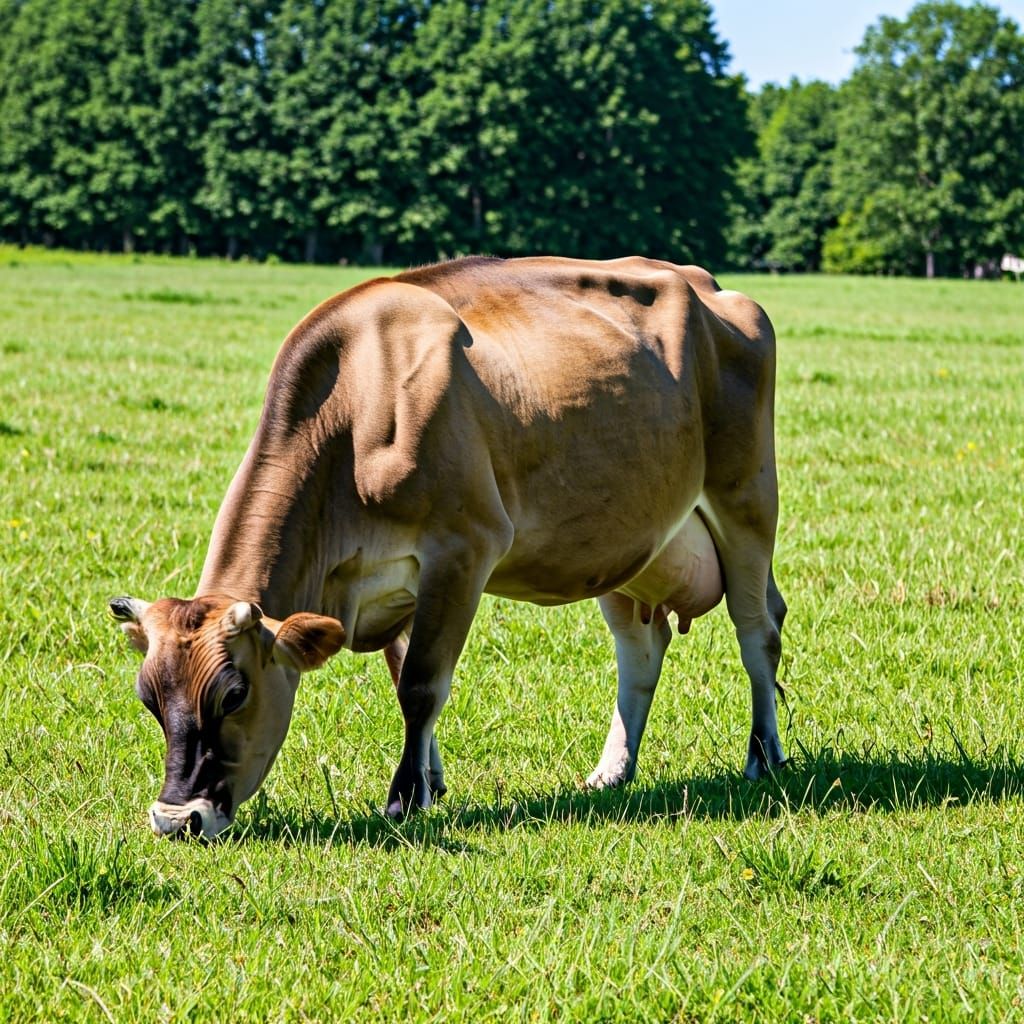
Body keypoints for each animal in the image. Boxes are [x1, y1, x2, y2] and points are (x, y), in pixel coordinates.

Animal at [109, 255, 787, 839]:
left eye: (234, 693)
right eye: (148, 698)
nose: (175, 820)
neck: (356, 406)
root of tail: (711, 286)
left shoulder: (462, 550)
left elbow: (421, 684)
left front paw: (405, 799)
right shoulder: (397, 581)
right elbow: (405, 680)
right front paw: (430, 783)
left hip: (747, 499)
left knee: (758, 629)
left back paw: (764, 756)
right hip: (628, 540)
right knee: (641, 649)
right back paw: (612, 772)